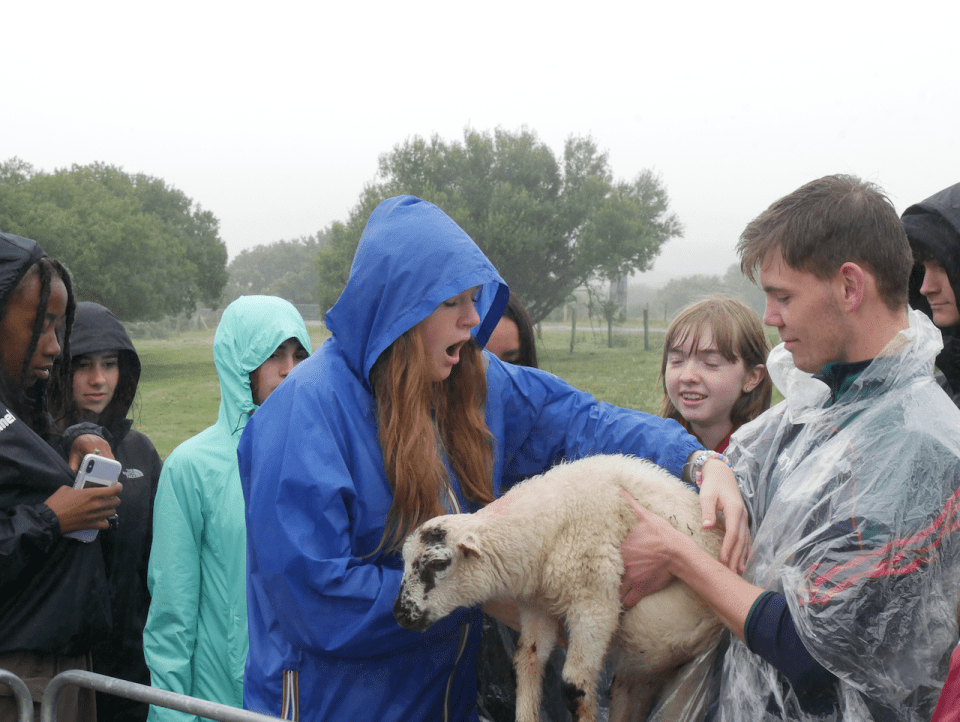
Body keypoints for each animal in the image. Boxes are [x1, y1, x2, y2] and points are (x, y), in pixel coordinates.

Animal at [394, 452, 724, 716]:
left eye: (439, 563)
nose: (399, 614)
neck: (548, 523)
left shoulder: (596, 606)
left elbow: (575, 686)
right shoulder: (537, 607)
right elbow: (526, 663)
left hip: (690, 664)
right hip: (640, 671)